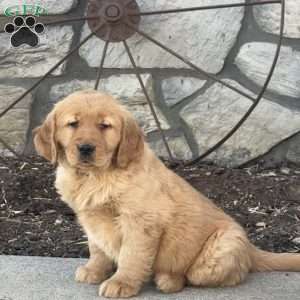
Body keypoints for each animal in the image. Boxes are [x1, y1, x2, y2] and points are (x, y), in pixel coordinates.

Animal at [34, 89, 300, 298]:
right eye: (73, 124)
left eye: (105, 126)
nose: (86, 148)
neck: (95, 177)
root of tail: (252, 249)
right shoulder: (91, 218)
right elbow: (97, 248)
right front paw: (94, 270)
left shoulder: (141, 222)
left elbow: (132, 255)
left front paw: (122, 282)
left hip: (218, 252)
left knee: (208, 276)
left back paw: (168, 279)